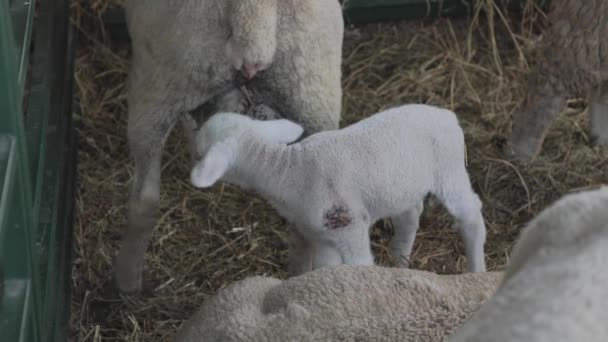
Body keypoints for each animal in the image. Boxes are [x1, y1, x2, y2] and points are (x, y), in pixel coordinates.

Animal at [188, 103, 486, 272]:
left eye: (200, 150)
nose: (191, 146)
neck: (289, 171)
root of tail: (448, 115)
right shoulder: (320, 235)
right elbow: (325, 268)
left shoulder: (348, 224)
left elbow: (359, 264)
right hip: (403, 184)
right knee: (410, 216)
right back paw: (400, 261)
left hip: (449, 169)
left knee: (471, 214)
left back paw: (476, 268)